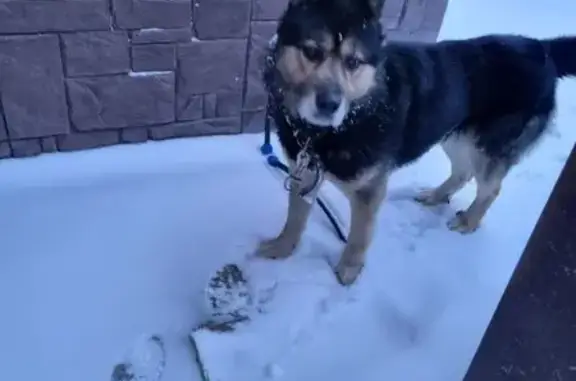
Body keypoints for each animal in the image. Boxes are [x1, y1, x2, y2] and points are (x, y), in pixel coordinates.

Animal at [256, 0, 576, 284]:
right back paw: (436, 196)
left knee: (491, 189)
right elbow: (295, 220)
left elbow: (359, 236)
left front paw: (348, 272)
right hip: (455, 134)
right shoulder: (303, 173)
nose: (330, 105)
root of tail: (542, 48)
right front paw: (281, 249)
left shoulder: (369, 192)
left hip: (485, 146)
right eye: (312, 52)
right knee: (463, 172)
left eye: (353, 62)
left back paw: (469, 221)